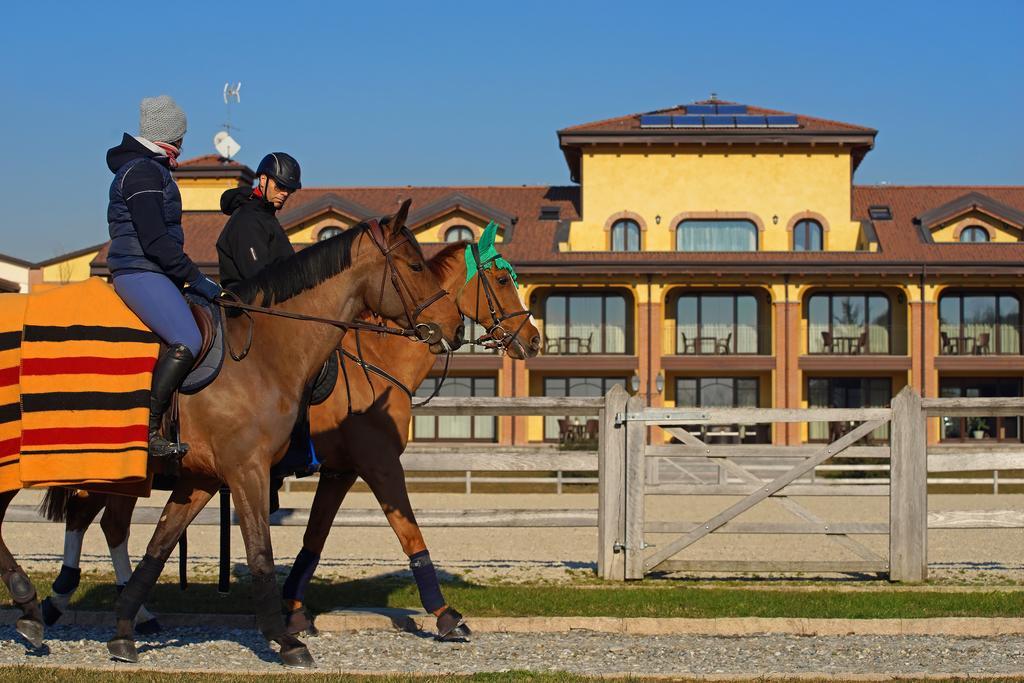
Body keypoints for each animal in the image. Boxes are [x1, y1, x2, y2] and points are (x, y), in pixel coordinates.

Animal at [0, 202, 464, 667]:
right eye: (415, 265)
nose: (454, 327)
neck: (265, 354)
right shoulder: (254, 470)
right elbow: (262, 552)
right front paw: (287, 638)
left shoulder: (205, 479)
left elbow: (159, 548)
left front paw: (124, 630)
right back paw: (30, 602)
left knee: (99, 523)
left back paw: (44, 609)